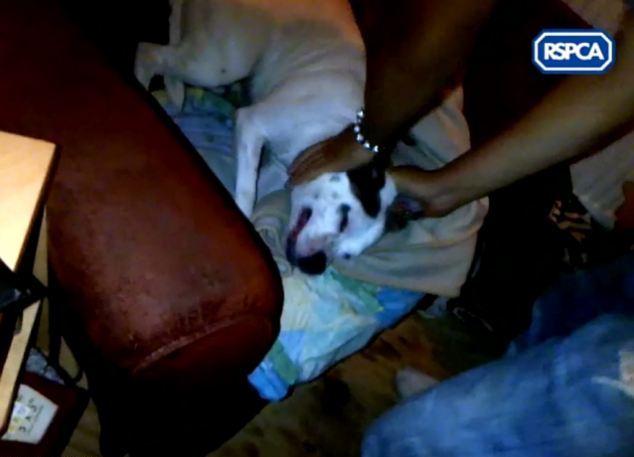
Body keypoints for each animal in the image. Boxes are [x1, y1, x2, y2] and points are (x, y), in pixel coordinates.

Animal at [135, 0, 414, 275]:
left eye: (348, 254)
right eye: (345, 220)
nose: (315, 267)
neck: (333, 134)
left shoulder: (279, 171)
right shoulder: (252, 123)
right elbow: (247, 192)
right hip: (218, 65)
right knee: (149, 52)